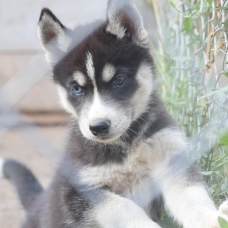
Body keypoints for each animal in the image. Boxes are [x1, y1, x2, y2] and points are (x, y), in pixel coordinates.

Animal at [0, 0, 228, 228]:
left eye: (119, 80)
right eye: (76, 89)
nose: (98, 127)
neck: (125, 148)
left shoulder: (173, 162)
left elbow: (193, 199)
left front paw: (212, 220)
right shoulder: (80, 192)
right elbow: (124, 207)